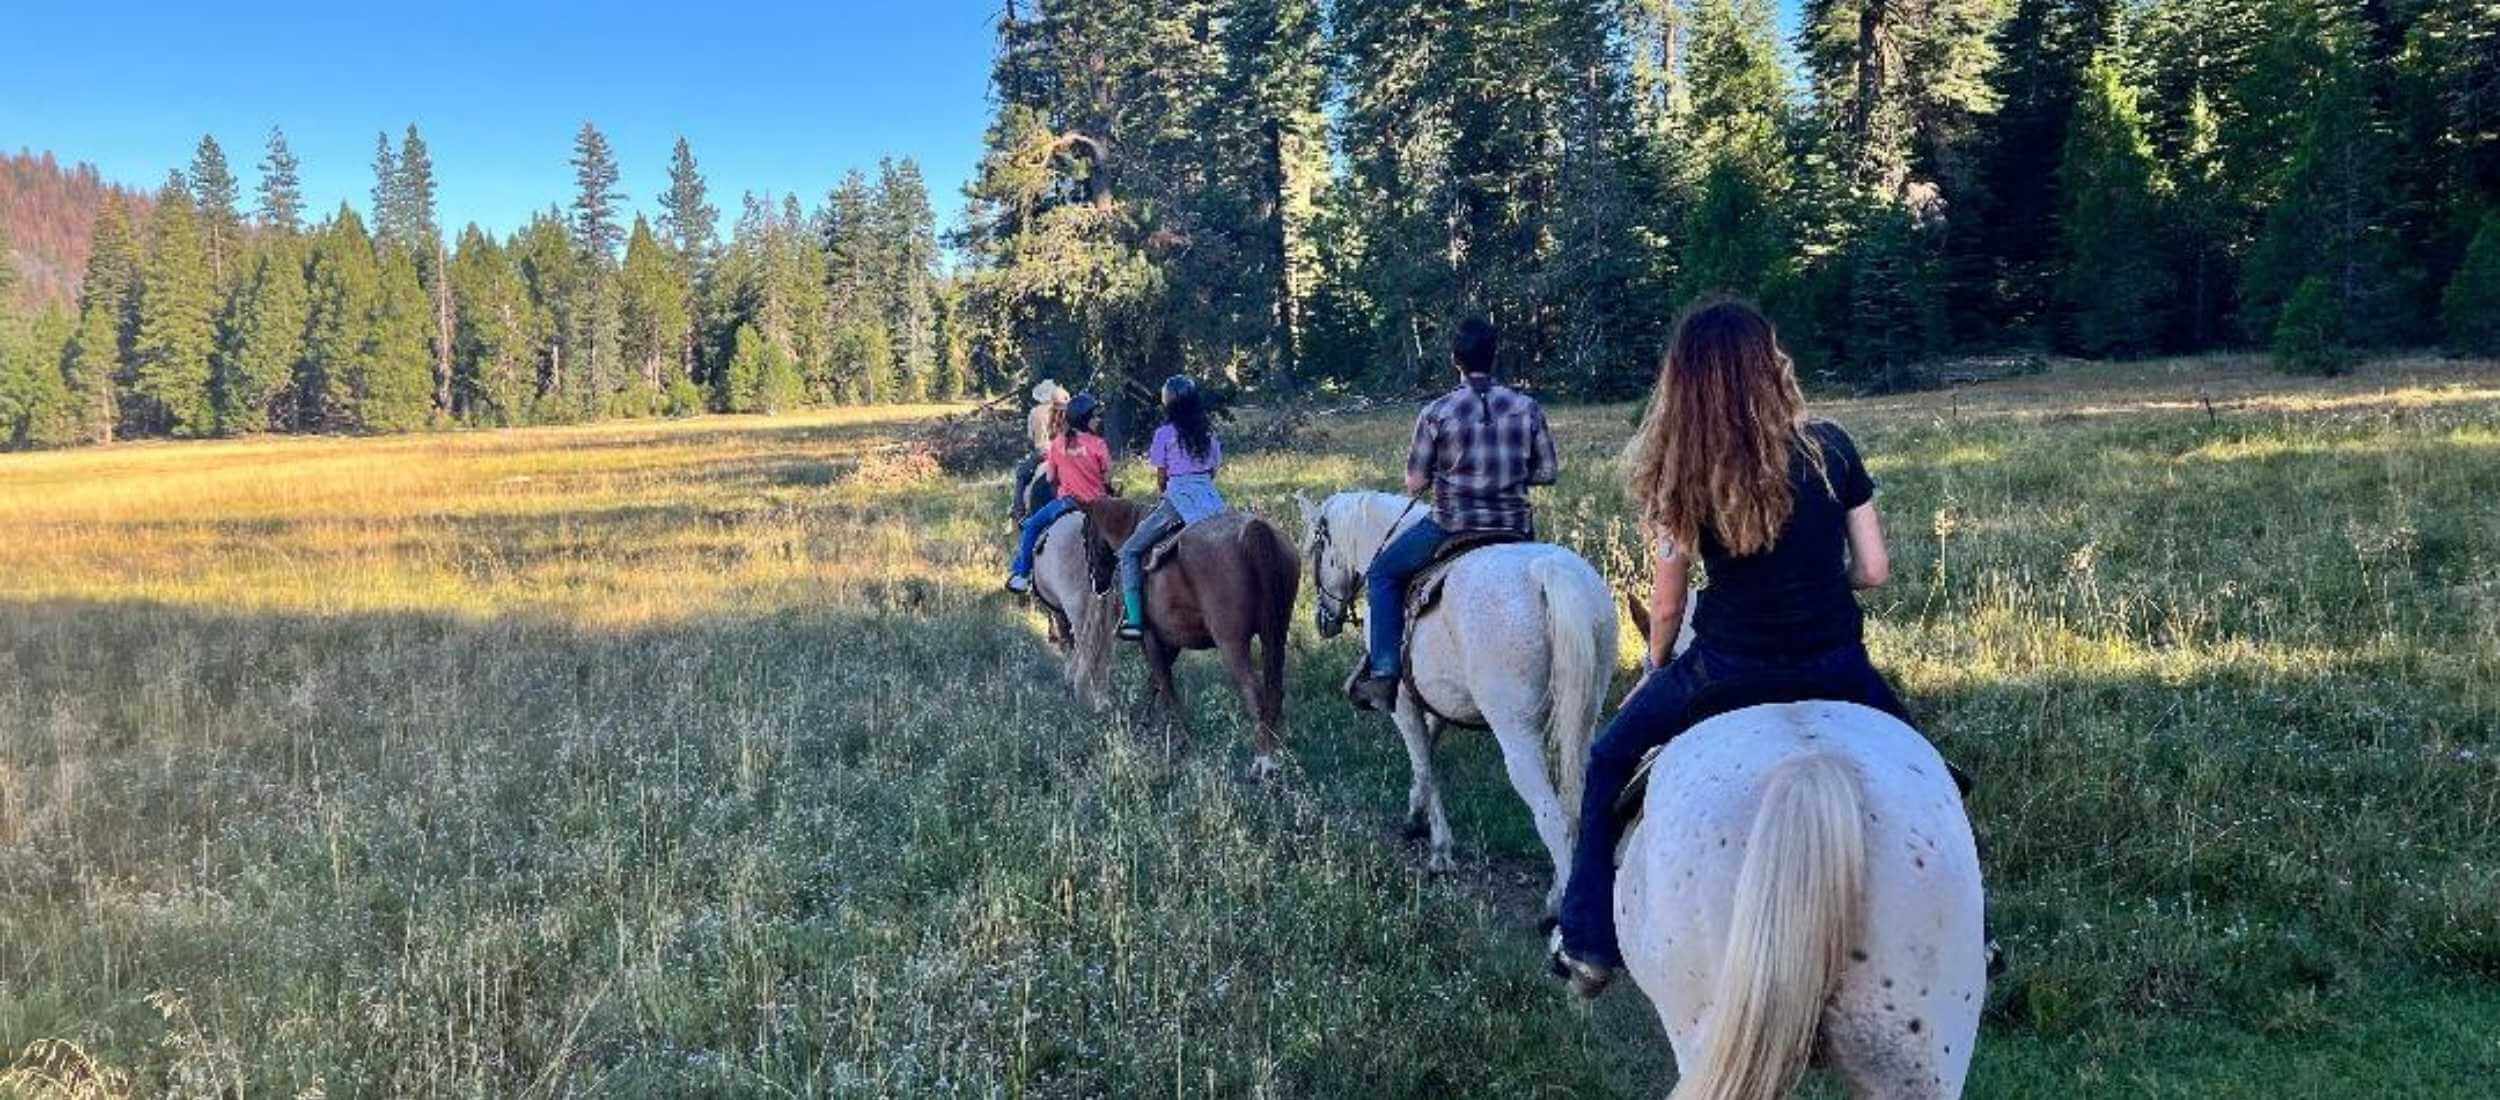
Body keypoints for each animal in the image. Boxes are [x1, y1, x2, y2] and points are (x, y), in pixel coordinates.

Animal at [1065, 495, 1300, 780]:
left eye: (1084, 534)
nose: (1096, 583)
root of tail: (1255, 531)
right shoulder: (1173, 641)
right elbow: (1155, 681)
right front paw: (1146, 724)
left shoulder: (1151, 638)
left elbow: (1164, 684)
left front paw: (1183, 737)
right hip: (1275, 634)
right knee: (1275, 690)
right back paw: (1280, 748)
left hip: (1231, 643)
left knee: (1255, 693)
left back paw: (1263, 761)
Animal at [1290, 490, 1620, 920]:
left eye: (1316, 549)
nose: (1323, 620)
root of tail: (1549, 572)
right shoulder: (1441, 700)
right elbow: (1429, 751)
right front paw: (1416, 816)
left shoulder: (1403, 704)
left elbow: (1423, 763)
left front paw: (1439, 852)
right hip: (1583, 720)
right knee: (1575, 806)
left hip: (1518, 736)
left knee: (1553, 819)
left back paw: (1556, 914)